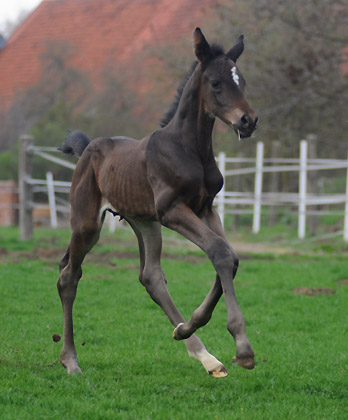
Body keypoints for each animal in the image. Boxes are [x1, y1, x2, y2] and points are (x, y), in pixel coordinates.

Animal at [57, 28, 258, 378]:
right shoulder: (172, 210)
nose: (248, 121)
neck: (189, 148)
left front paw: (188, 326)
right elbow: (220, 252)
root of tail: (88, 148)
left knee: (150, 276)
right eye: (216, 82)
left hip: (144, 222)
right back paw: (71, 361)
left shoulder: (205, 208)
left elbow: (229, 257)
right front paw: (243, 347)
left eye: (241, 81)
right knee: (69, 276)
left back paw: (203, 354)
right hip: (87, 224)